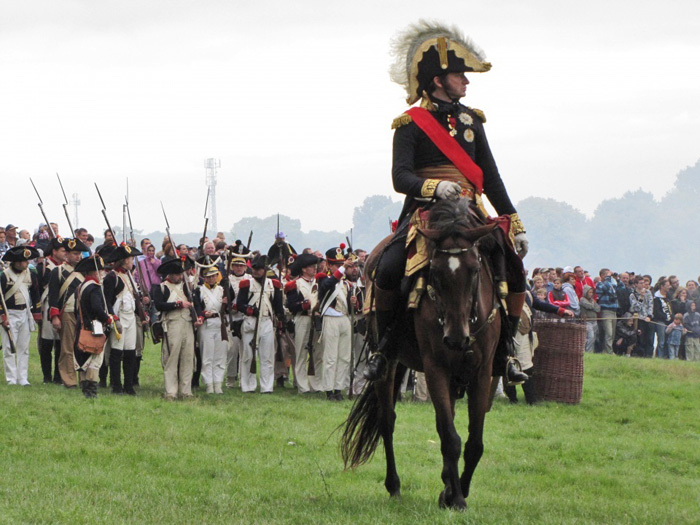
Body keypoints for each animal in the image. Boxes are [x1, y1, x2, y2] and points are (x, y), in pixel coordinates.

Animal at [342, 199, 500, 510]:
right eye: (435, 272)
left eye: (475, 269)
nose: (455, 338)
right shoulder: (436, 367)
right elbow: (450, 437)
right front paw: (457, 499)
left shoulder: (482, 372)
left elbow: (474, 442)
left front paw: (454, 491)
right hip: (389, 361)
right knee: (387, 420)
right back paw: (394, 485)